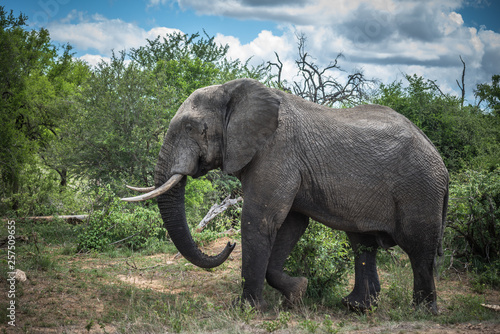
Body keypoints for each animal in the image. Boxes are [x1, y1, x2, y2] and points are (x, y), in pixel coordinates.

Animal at [122, 77, 450, 314]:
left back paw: (421, 313)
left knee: (419, 247)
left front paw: (246, 310)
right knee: (362, 244)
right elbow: (292, 224)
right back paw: (356, 307)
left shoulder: (277, 152)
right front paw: (297, 292)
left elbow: (259, 219)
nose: (227, 244)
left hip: (420, 188)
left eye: (191, 127)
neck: (233, 90)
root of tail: (440, 159)